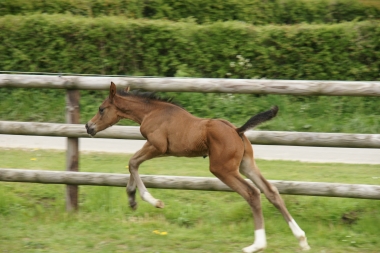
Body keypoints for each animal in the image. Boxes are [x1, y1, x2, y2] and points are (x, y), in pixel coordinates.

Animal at [85, 82, 308, 252]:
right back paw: (301, 239)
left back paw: (257, 245)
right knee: (271, 191)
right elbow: (133, 163)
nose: (88, 126)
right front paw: (132, 200)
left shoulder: (158, 146)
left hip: (222, 169)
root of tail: (238, 130)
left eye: (101, 109)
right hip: (246, 165)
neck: (152, 112)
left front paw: (152, 201)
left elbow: (133, 162)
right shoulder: (157, 148)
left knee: (252, 193)